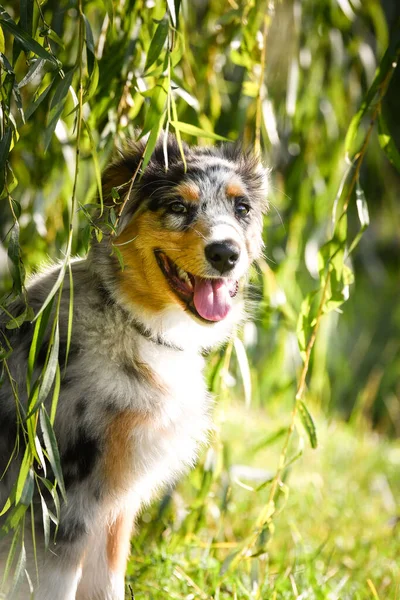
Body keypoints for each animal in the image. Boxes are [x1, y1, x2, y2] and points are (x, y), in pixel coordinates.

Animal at [0, 137, 268, 600]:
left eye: (242, 208)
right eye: (178, 206)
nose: (226, 253)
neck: (134, 322)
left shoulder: (114, 506)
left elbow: (109, 584)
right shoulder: (59, 507)